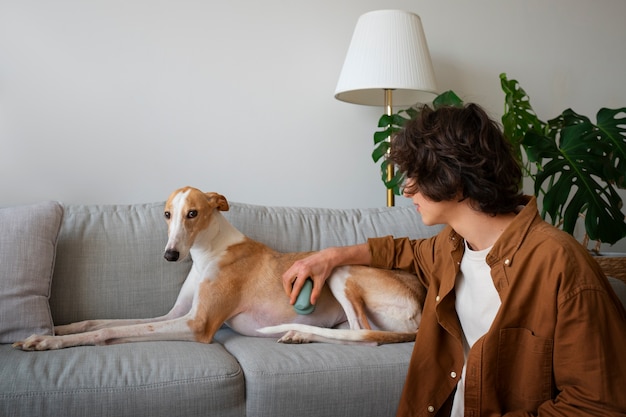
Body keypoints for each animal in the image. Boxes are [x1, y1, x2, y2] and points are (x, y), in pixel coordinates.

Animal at [13, 187, 424, 350]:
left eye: (193, 213)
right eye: (167, 214)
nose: (170, 255)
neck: (208, 252)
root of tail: (422, 304)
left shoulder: (197, 324)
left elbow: (109, 332)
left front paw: (46, 341)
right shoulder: (175, 314)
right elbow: (98, 321)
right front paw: (55, 328)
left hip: (341, 270)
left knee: (364, 335)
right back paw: (299, 334)